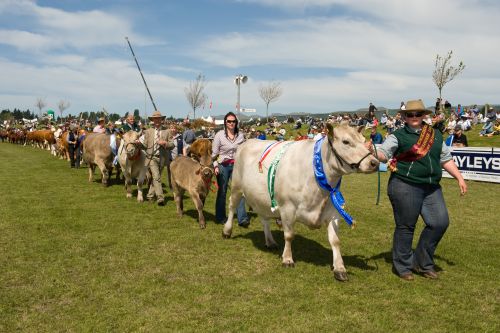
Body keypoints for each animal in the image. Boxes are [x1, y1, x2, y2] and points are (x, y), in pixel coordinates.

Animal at [223, 122, 378, 280]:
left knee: (264, 218)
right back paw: (227, 231)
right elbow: (289, 235)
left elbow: (335, 240)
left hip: (261, 198)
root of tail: (248, 141)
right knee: (231, 206)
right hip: (236, 186)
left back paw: (270, 241)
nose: (375, 163)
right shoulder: (287, 208)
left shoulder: (333, 212)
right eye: (346, 142)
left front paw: (340, 268)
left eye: (364, 141)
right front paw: (287, 259)